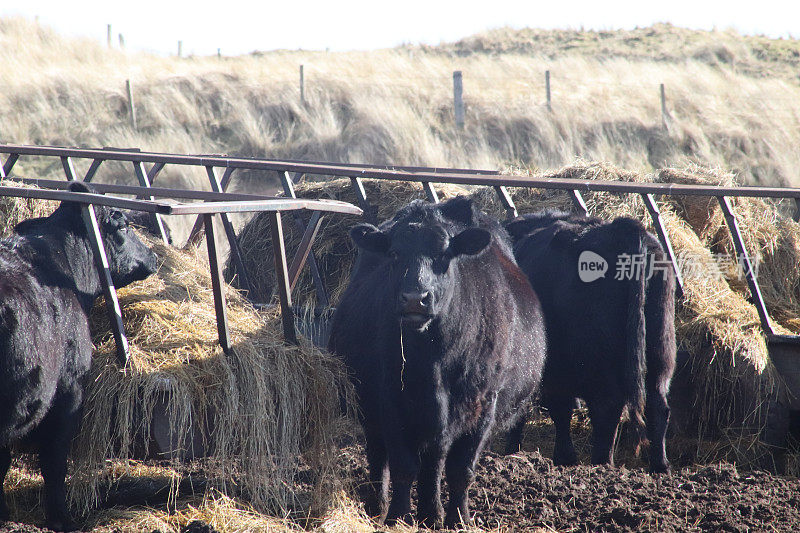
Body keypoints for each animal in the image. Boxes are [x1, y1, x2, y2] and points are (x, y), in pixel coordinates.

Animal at [328, 197, 548, 524]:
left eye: (444, 254)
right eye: (394, 253)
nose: (414, 298)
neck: (430, 362)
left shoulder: (483, 403)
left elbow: (459, 469)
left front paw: (456, 518)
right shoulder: (390, 399)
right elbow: (403, 465)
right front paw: (398, 516)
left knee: (433, 461)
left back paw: (431, 513)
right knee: (379, 456)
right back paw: (377, 507)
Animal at [506, 210, 676, 472]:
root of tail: (621, 228)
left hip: (592, 366)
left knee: (606, 408)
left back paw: (602, 463)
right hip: (659, 354)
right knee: (657, 406)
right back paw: (660, 465)